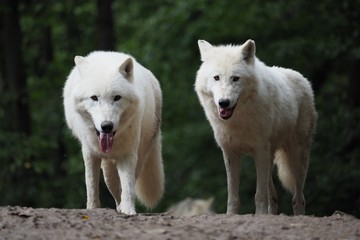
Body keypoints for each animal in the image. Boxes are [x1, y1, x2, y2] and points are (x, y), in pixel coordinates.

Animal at [63, 50, 165, 214]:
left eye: (117, 97)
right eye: (94, 98)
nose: (107, 126)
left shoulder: (128, 155)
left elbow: (128, 186)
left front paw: (128, 210)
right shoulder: (90, 153)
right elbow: (91, 185)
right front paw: (92, 208)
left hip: (141, 154)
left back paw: (121, 207)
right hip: (107, 166)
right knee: (112, 184)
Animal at [195, 39, 316, 216]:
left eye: (235, 78)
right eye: (216, 77)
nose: (224, 102)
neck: (238, 121)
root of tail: (302, 78)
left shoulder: (260, 150)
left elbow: (259, 193)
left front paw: (259, 214)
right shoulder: (230, 153)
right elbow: (233, 193)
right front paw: (232, 214)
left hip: (296, 156)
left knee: (298, 197)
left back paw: (298, 214)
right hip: (270, 157)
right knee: (273, 195)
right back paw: (271, 214)